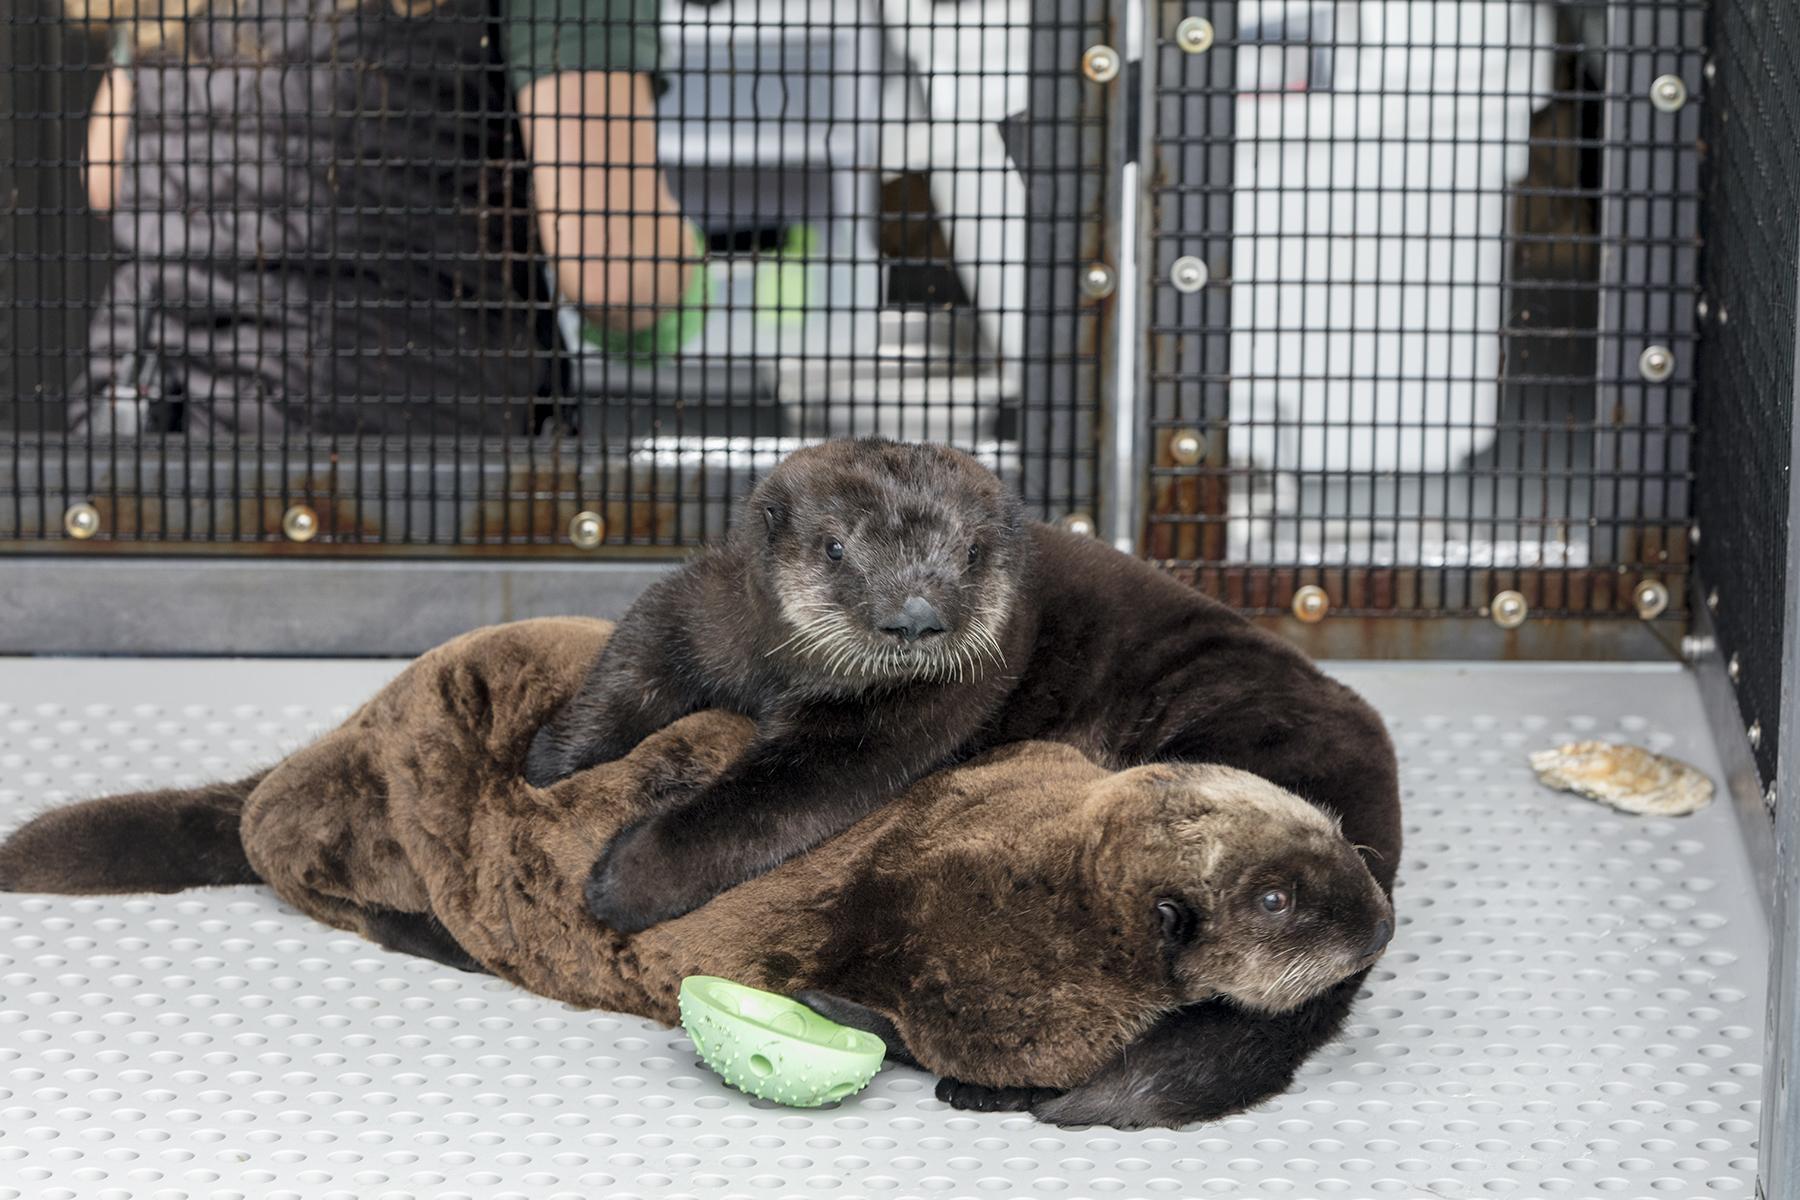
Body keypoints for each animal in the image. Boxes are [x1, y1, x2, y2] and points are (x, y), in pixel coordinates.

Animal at [525, 437, 1396, 1129]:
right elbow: (634, 663)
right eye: (835, 548)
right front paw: (547, 759)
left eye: (971, 555)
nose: (914, 616)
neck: (778, 672)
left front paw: (624, 880)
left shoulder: (893, 727)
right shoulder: (701, 608)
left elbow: (765, 805)